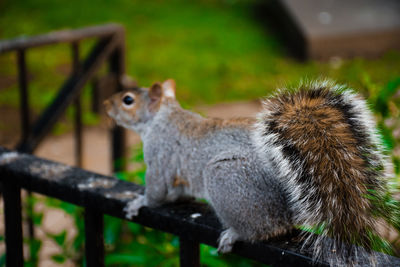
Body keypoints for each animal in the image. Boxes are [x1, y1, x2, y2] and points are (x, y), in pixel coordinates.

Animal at [103, 78, 390, 266]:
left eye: (128, 100)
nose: (105, 103)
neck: (162, 118)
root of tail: (290, 210)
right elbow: (176, 192)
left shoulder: (160, 157)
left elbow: (156, 191)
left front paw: (138, 203)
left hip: (224, 177)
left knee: (260, 230)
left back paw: (234, 233)